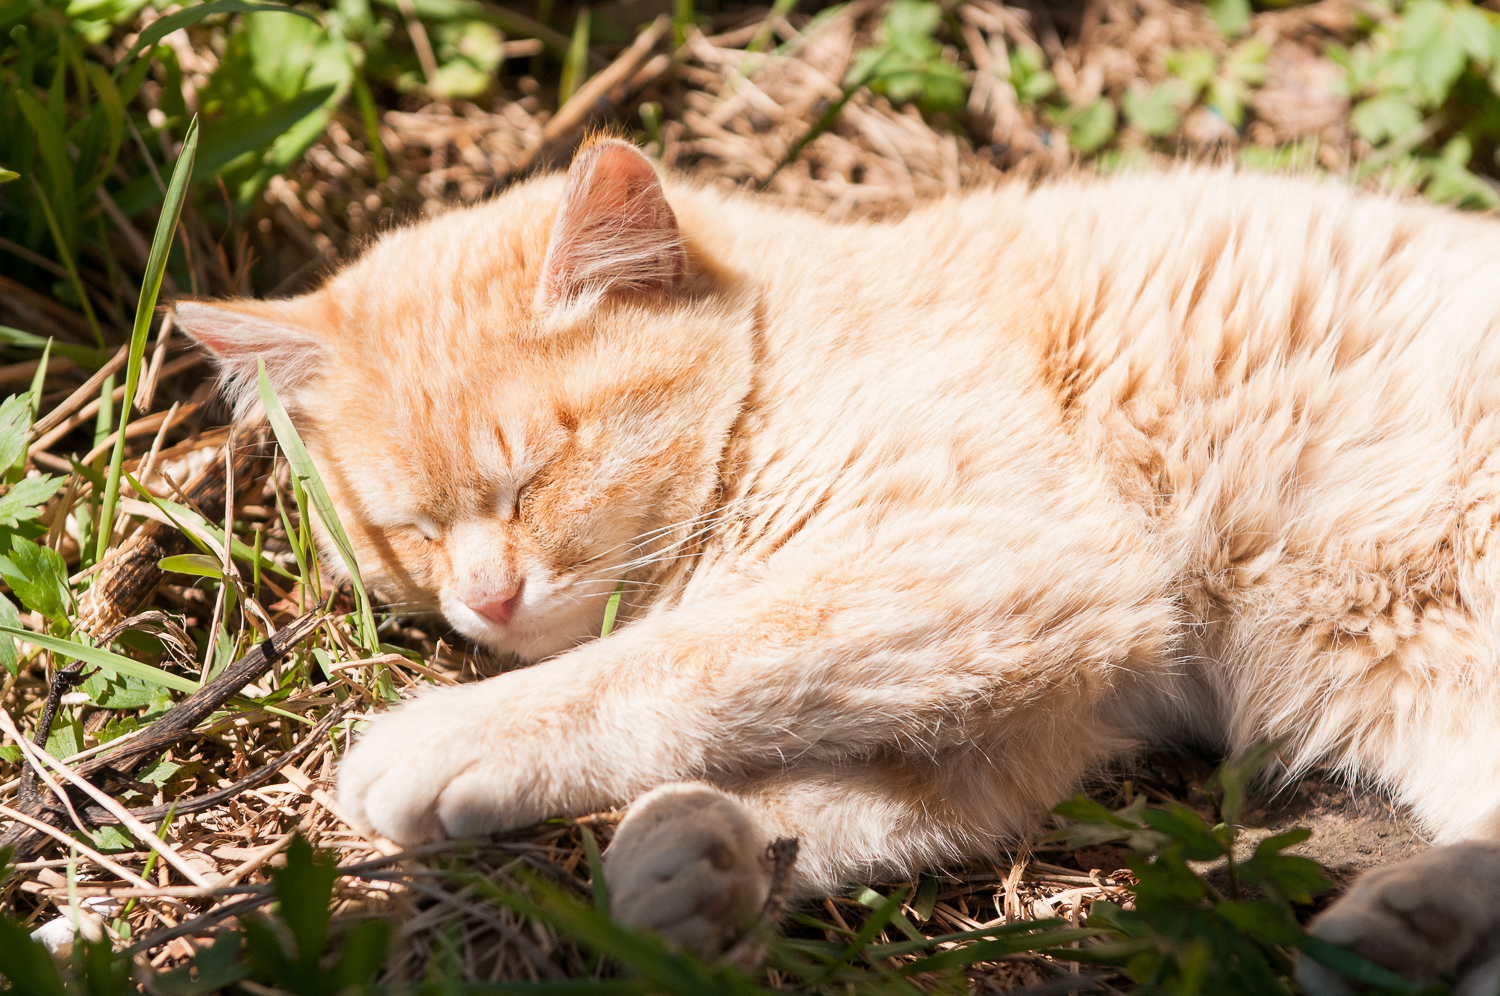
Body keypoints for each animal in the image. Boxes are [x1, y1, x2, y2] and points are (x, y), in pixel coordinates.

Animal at [175, 141, 1500, 996]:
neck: (782, 351)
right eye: (407, 526)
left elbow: (673, 663)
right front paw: (691, 860)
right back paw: (1407, 927)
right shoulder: (1034, 716)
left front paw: (454, 740)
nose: (486, 599)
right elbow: (826, 794)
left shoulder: (1005, 561)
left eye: (535, 477)